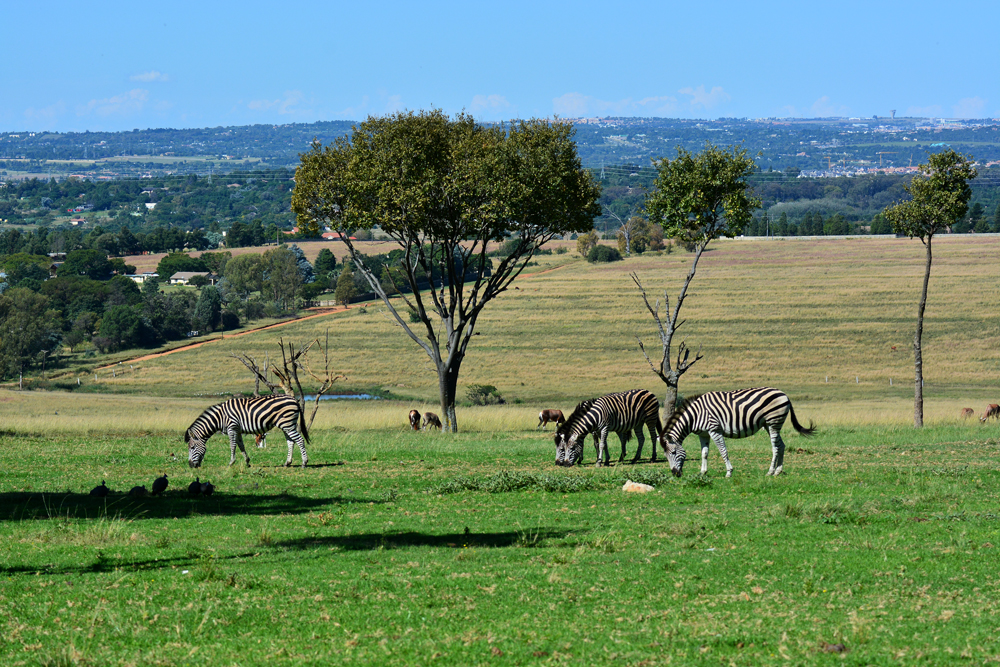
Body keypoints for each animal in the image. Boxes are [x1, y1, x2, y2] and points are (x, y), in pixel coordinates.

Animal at [660, 388, 816, 478]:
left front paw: (729, 472)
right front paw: (702, 472)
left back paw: (770, 472)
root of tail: (784, 394)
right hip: (769, 424)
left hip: (773, 422)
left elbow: (723, 451)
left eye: (673, 452)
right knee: (782, 446)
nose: (675, 474)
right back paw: (778, 471)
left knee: (776, 447)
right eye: (666, 455)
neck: (695, 415)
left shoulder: (714, 429)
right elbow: (704, 453)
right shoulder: (703, 434)